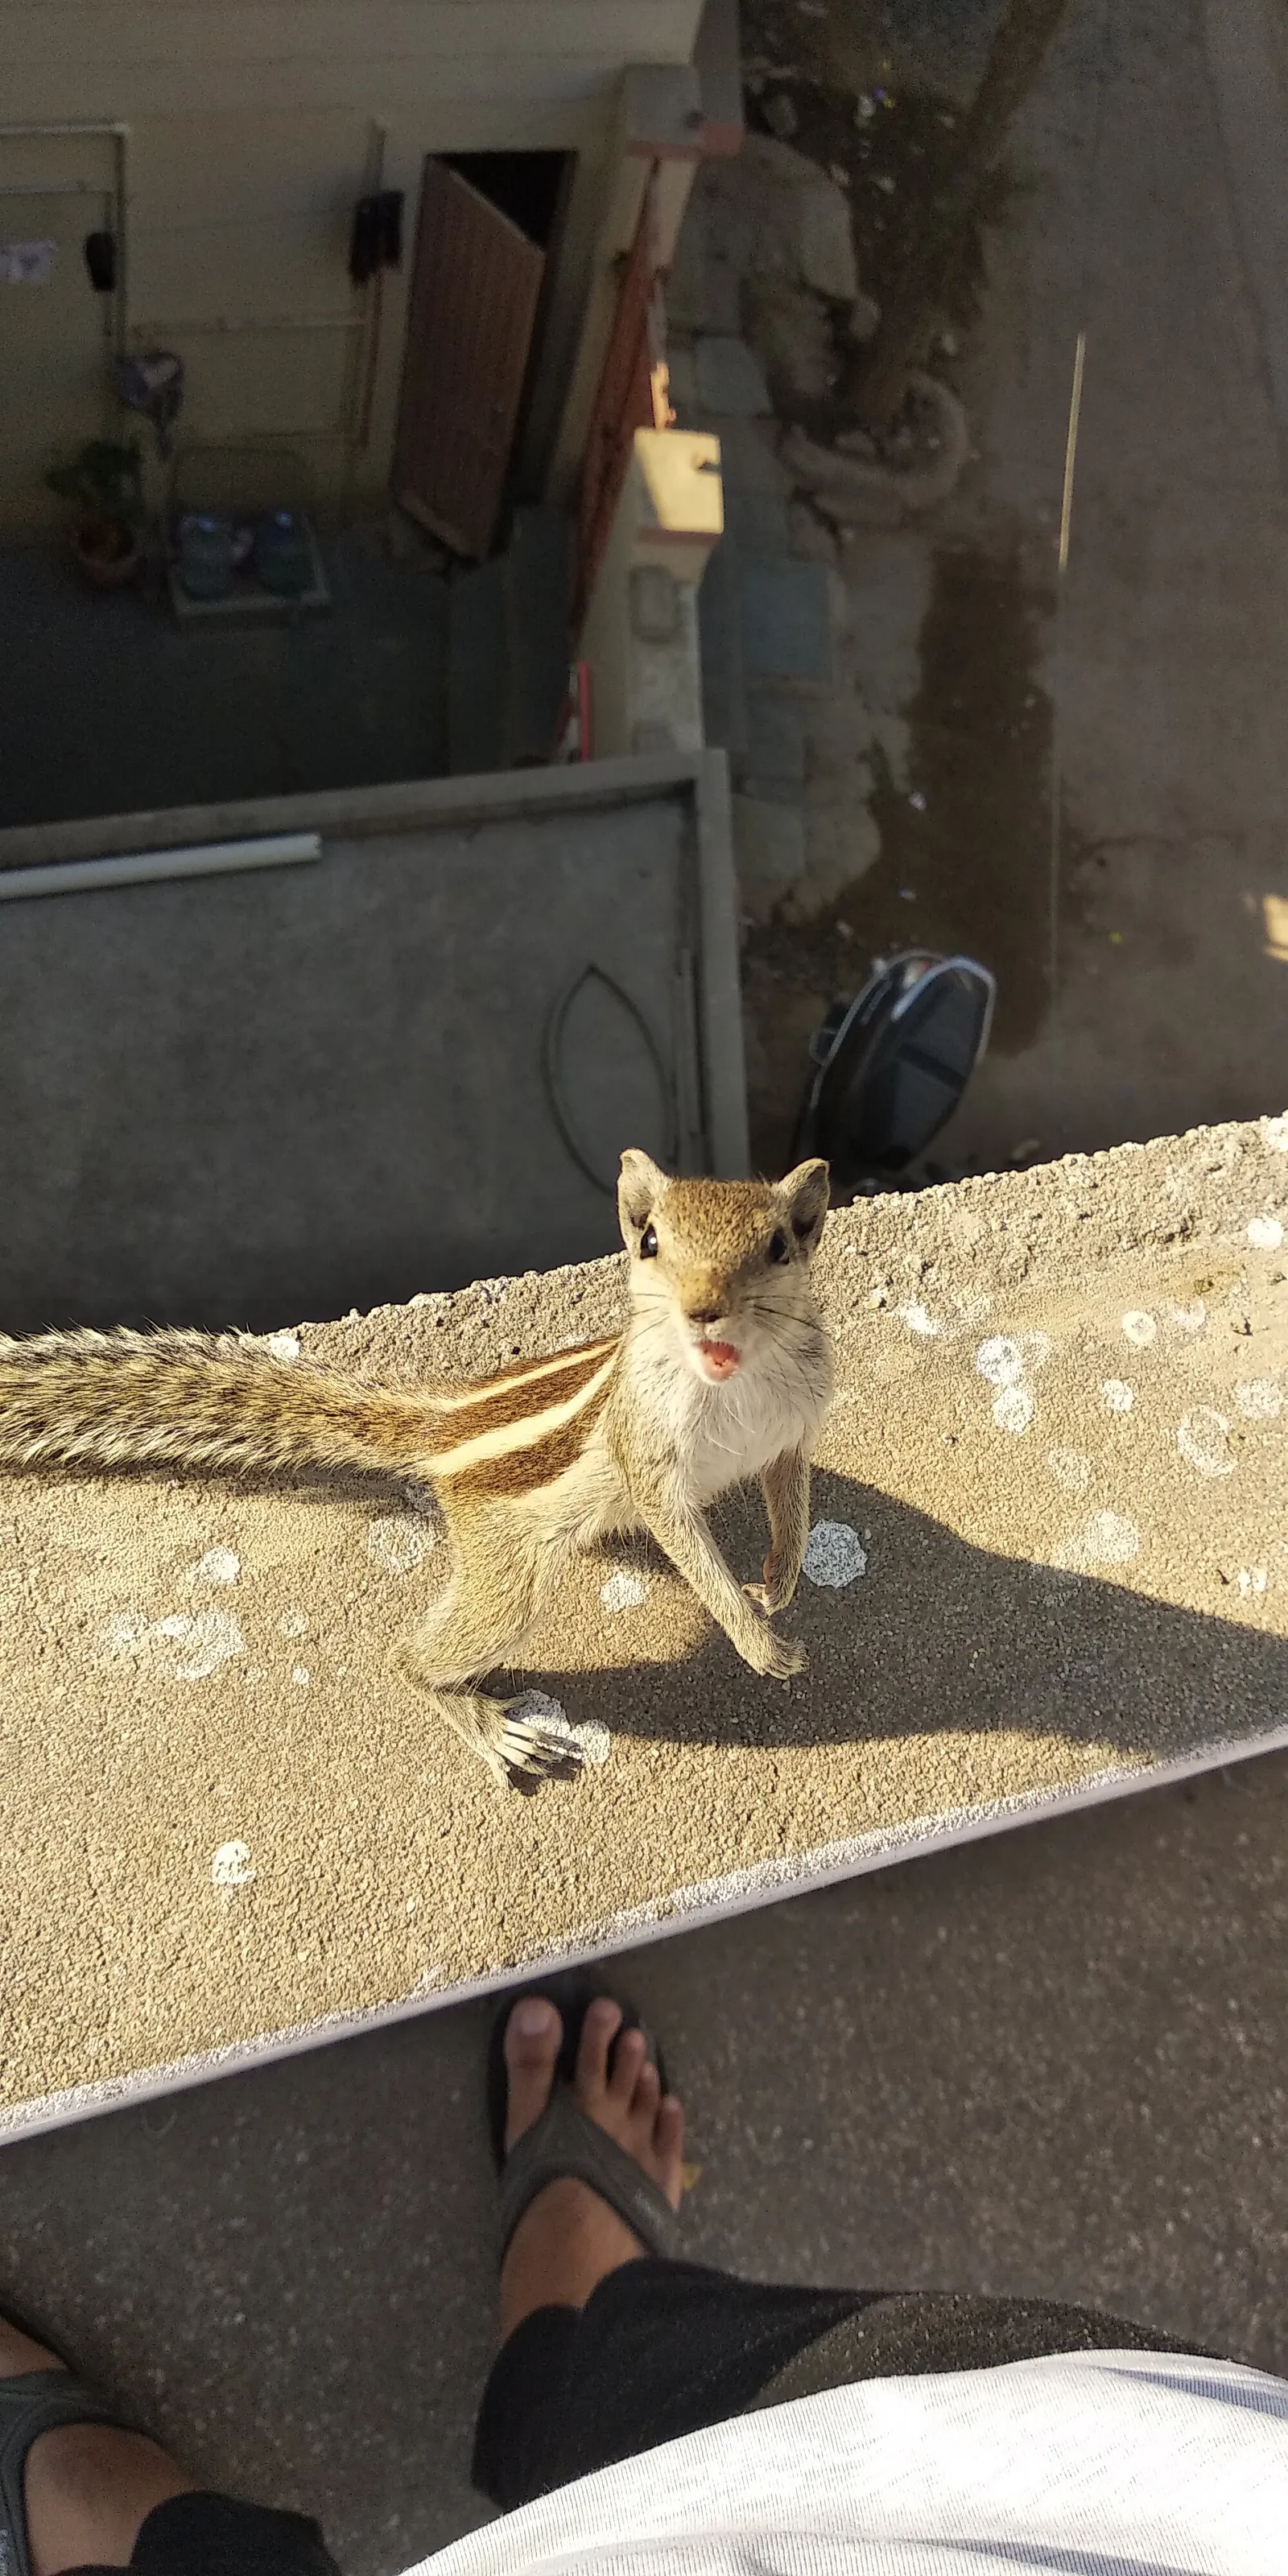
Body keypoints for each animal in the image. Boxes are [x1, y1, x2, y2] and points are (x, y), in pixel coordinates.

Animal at [0, 1150, 833, 1787]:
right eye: (651, 1242)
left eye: (778, 1247)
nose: (702, 1309)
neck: (736, 1382)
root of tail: (446, 1424)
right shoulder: (649, 1455)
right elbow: (683, 1537)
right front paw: (757, 1639)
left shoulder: (794, 1430)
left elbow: (791, 1498)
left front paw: (781, 1577)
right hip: (506, 1576)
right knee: (413, 1656)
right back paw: (484, 1721)